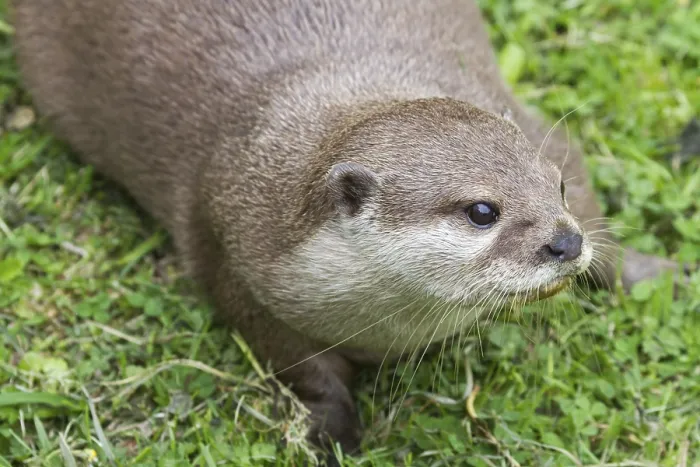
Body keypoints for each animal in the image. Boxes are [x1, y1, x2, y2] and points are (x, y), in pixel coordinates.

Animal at [10, 0, 679, 459]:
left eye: (555, 186)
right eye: (482, 211)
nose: (565, 242)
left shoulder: (548, 136)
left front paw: (652, 272)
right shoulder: (236, 263)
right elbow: (302, 368)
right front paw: (332, 433)